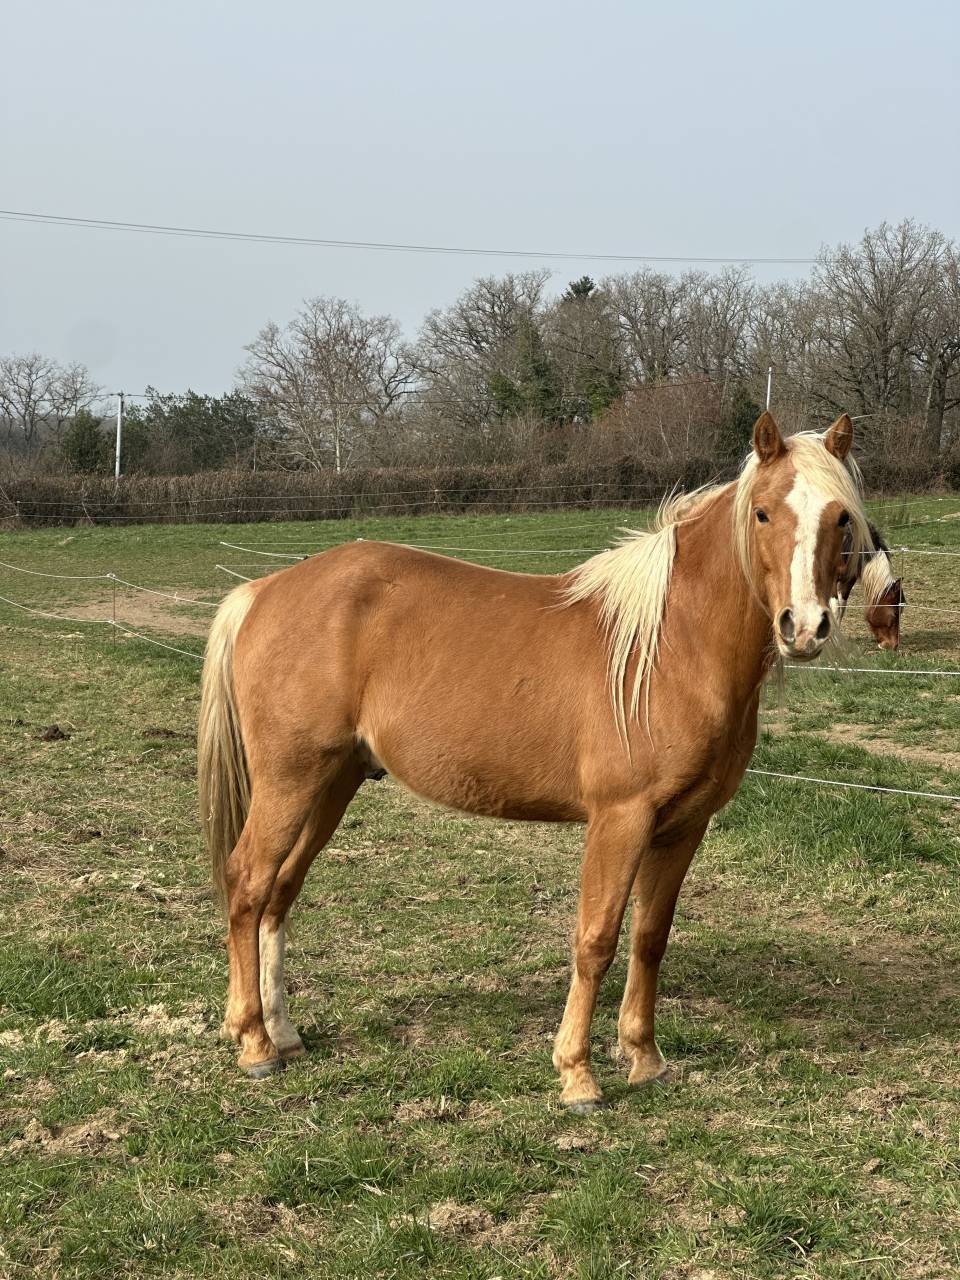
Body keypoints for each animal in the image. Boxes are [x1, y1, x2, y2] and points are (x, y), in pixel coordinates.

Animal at [198, 411, 872, 1111]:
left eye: (840, 518)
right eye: (763, 513)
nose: (804, 628)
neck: (669, 647)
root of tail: (263, 590)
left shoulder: (685, 825)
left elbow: (650, 937)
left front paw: (644, 1057)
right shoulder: (620, 819)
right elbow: (596, 938)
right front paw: (577, 1074)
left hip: (333, 782)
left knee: (280, 892)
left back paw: (282, 1033)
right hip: (291, 780)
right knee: (248, 883)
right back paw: (254, 1044)